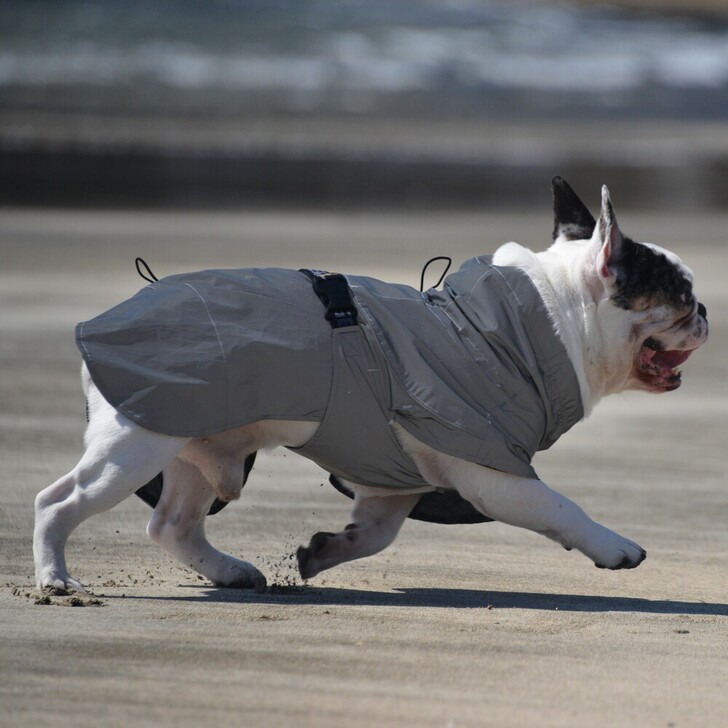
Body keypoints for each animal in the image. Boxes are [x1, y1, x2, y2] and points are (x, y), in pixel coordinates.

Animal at [34, 178, 708, 592]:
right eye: (679, 295)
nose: (705, 310)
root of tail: (108, 318)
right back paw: (56, 579)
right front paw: (613, 545)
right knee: (58, 503)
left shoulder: (394, 480)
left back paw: (228, 571)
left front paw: (328, 549)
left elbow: (379, 533)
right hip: (137, 441)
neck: (544, 315)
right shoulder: (496, 473)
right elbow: (561, 507)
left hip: (200, 445)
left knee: (171, 523)